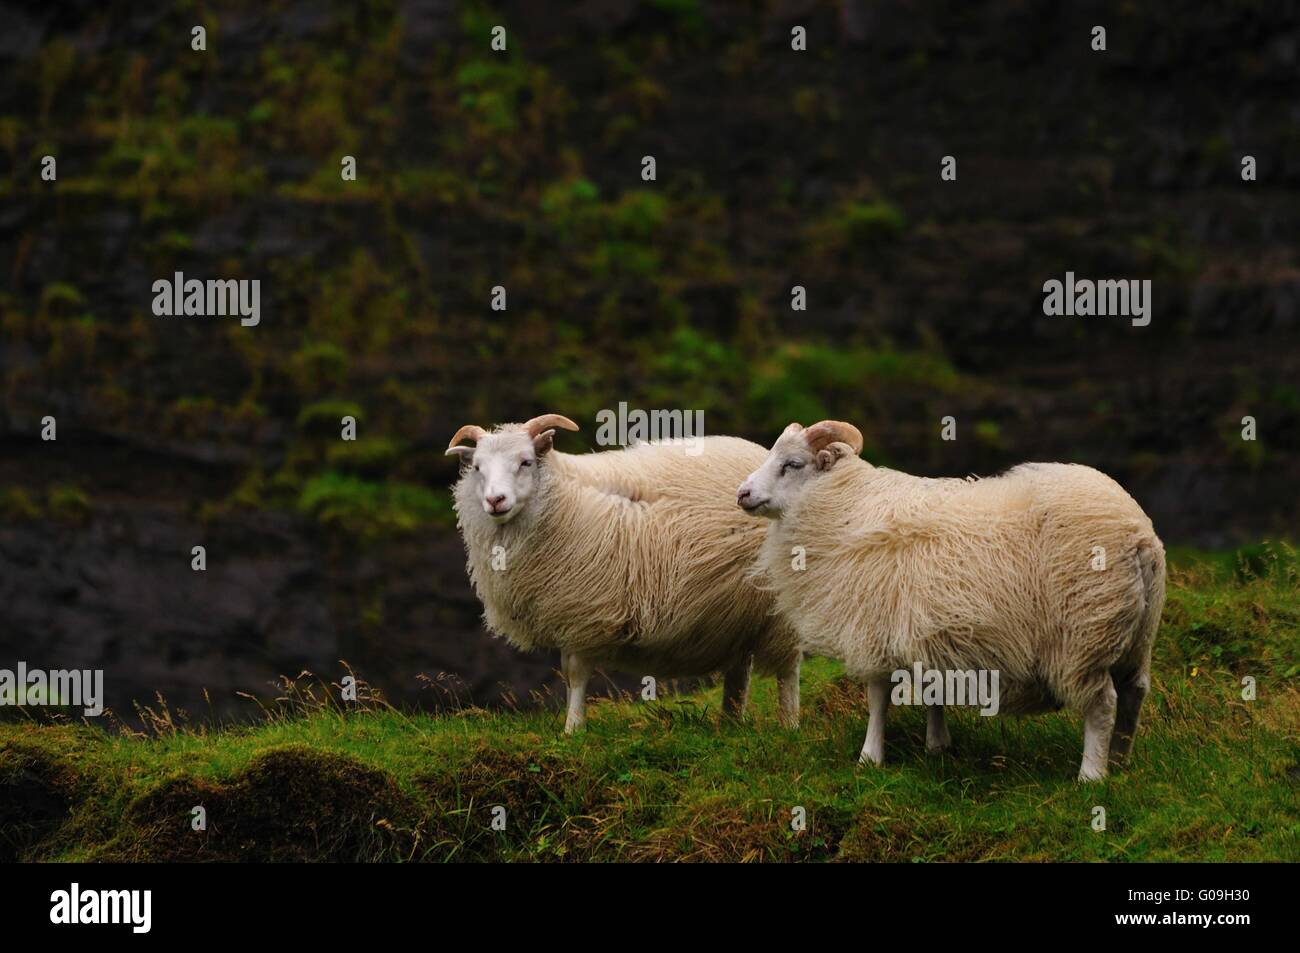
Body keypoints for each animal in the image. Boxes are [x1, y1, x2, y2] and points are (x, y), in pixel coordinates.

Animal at [444, 413, 800, 733]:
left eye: (526, 461)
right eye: (477, 468)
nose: (495, 500)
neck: (563, 496)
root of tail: (757, 452)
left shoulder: (585, 613)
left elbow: (576, 674)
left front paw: (572, 729)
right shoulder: (567, 612)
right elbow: (569, 674)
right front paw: (573, 725)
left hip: (780, 609)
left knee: (789, 670)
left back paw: (789, 723)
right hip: (740, 614)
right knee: (740, 669)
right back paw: (730, 721)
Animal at [738, 421, 1175, 774]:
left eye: (793, 464)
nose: (742, 493)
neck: (843, 505)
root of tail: (1139, 535)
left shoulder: (874, 625)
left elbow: (878, 698)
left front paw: (869, 757)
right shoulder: (928, 627)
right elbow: (933, 687)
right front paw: (938, 746)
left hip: (1084, 633)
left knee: (1102, 704)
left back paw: (1091, 775)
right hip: (1137, 634)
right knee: (1134, 693)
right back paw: (1120, 762)